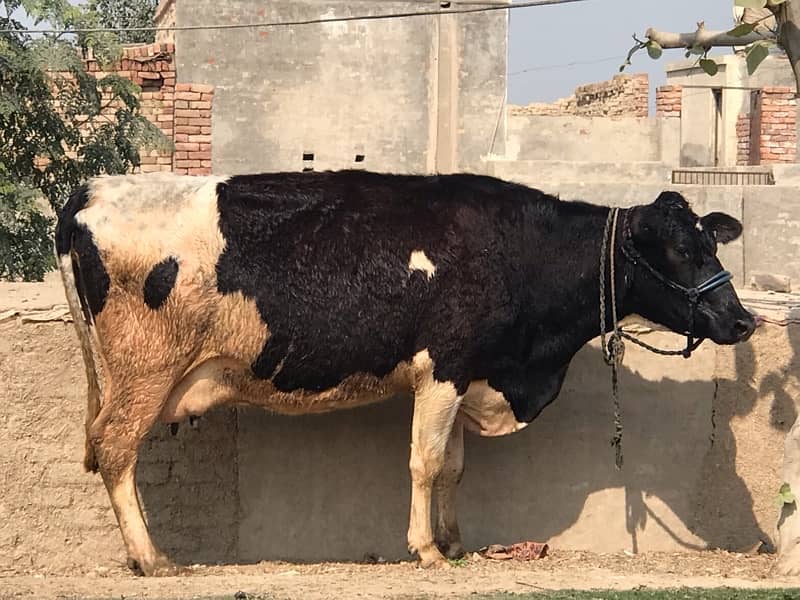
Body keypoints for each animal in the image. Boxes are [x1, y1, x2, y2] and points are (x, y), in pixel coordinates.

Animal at [56, 170, 756, 576]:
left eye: (712, 243)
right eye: (684, 250)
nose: (743, 320)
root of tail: (92, 192)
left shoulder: (469, 375)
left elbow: (452, 467)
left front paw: (454, 541)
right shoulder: (444, 366)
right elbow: (424, 461)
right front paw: (424, 549)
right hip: (144, 370)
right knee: (114, 448)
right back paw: (151, 558)